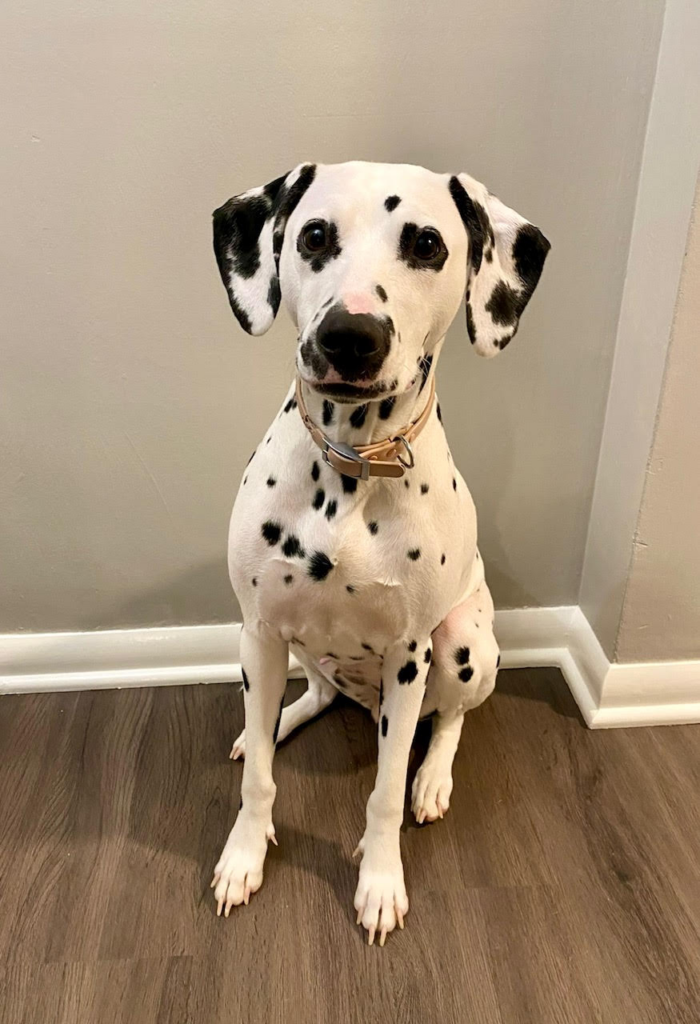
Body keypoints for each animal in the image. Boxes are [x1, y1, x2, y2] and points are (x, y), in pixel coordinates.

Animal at [210, 159, 548, 942]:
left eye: (426, 244)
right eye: (313, 235)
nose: (349, 336)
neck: (352, 468)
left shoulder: (409, 655)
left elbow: (384, 793)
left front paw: (380, 878)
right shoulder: (259, 630)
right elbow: (258, 781)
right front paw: (244, 853)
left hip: (463, 644)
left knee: (452, 716)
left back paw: (434, 777)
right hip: (291, 648)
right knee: (316, 692)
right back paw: (270, 724)